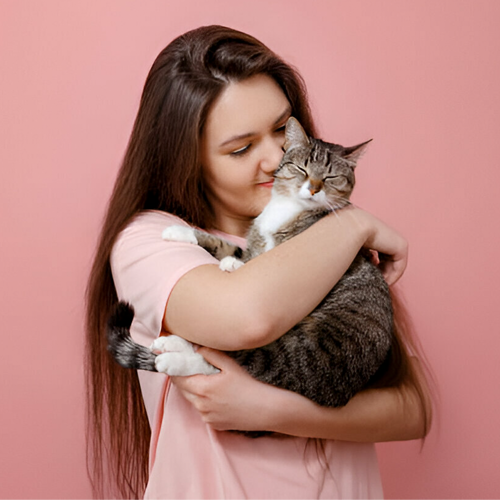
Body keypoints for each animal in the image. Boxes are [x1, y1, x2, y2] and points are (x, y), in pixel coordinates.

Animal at [108, 117, 394, 410]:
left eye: (330, 177)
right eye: (301, 168)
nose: (314, 188)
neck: (286, 209)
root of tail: (342, 392)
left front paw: (233, 265)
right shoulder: (252, 240)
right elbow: (229, 246)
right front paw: (182, 232)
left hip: (308, 347)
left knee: (243, 360)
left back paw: (175, 357)